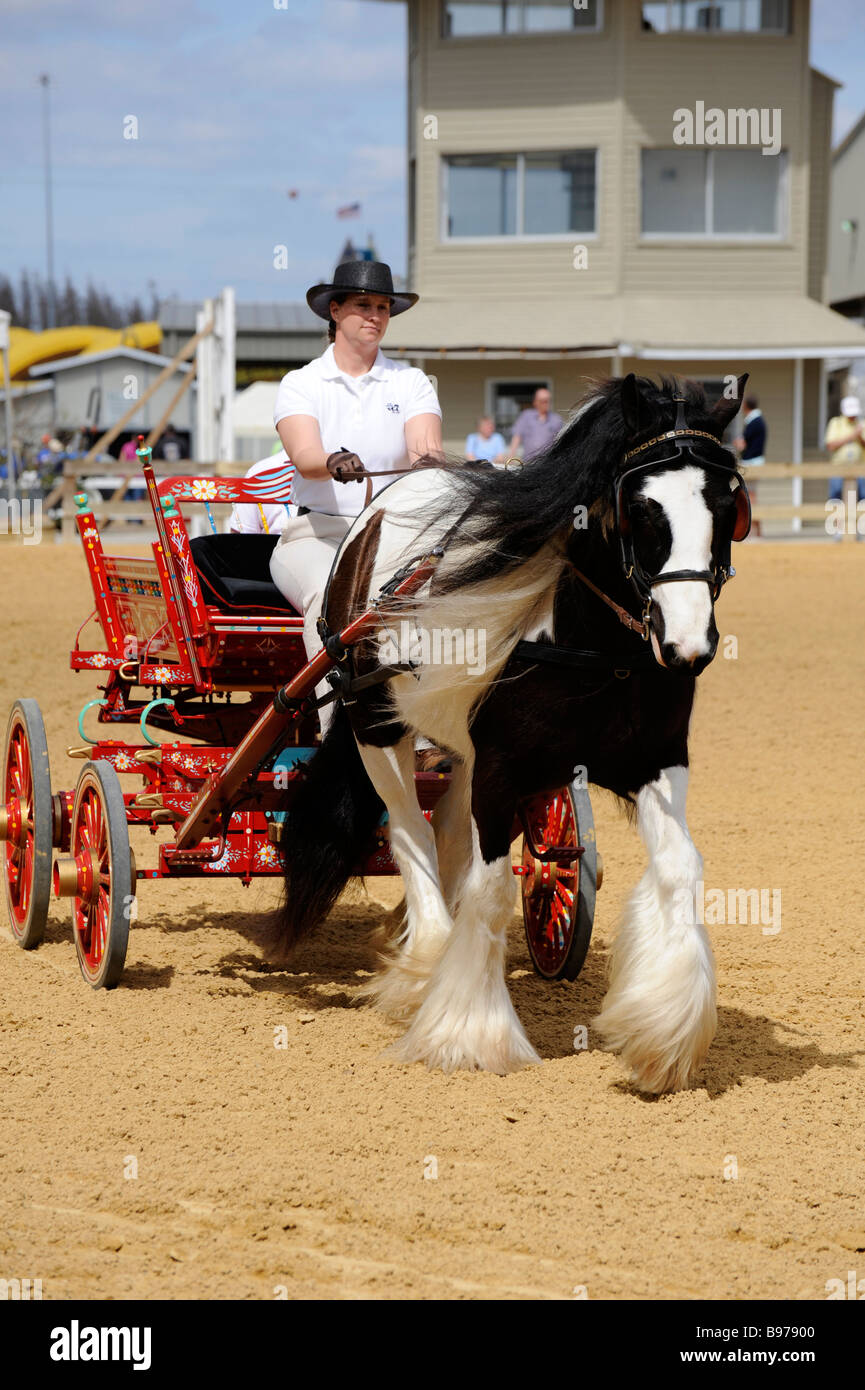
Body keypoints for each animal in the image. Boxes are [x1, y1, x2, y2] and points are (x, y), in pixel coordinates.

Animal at [273, 372, 752, 1094]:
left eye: (729, 506)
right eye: (641, 508)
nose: (688, 645)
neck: (590, 648)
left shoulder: (654, 762)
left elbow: (679, 868)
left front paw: (663, 1034)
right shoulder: (501, 773)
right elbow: (492, 891)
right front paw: (468, 1033)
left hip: (457, 749)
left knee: (444, 832)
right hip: (374, 723)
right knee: (409, 833)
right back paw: (425, 966)